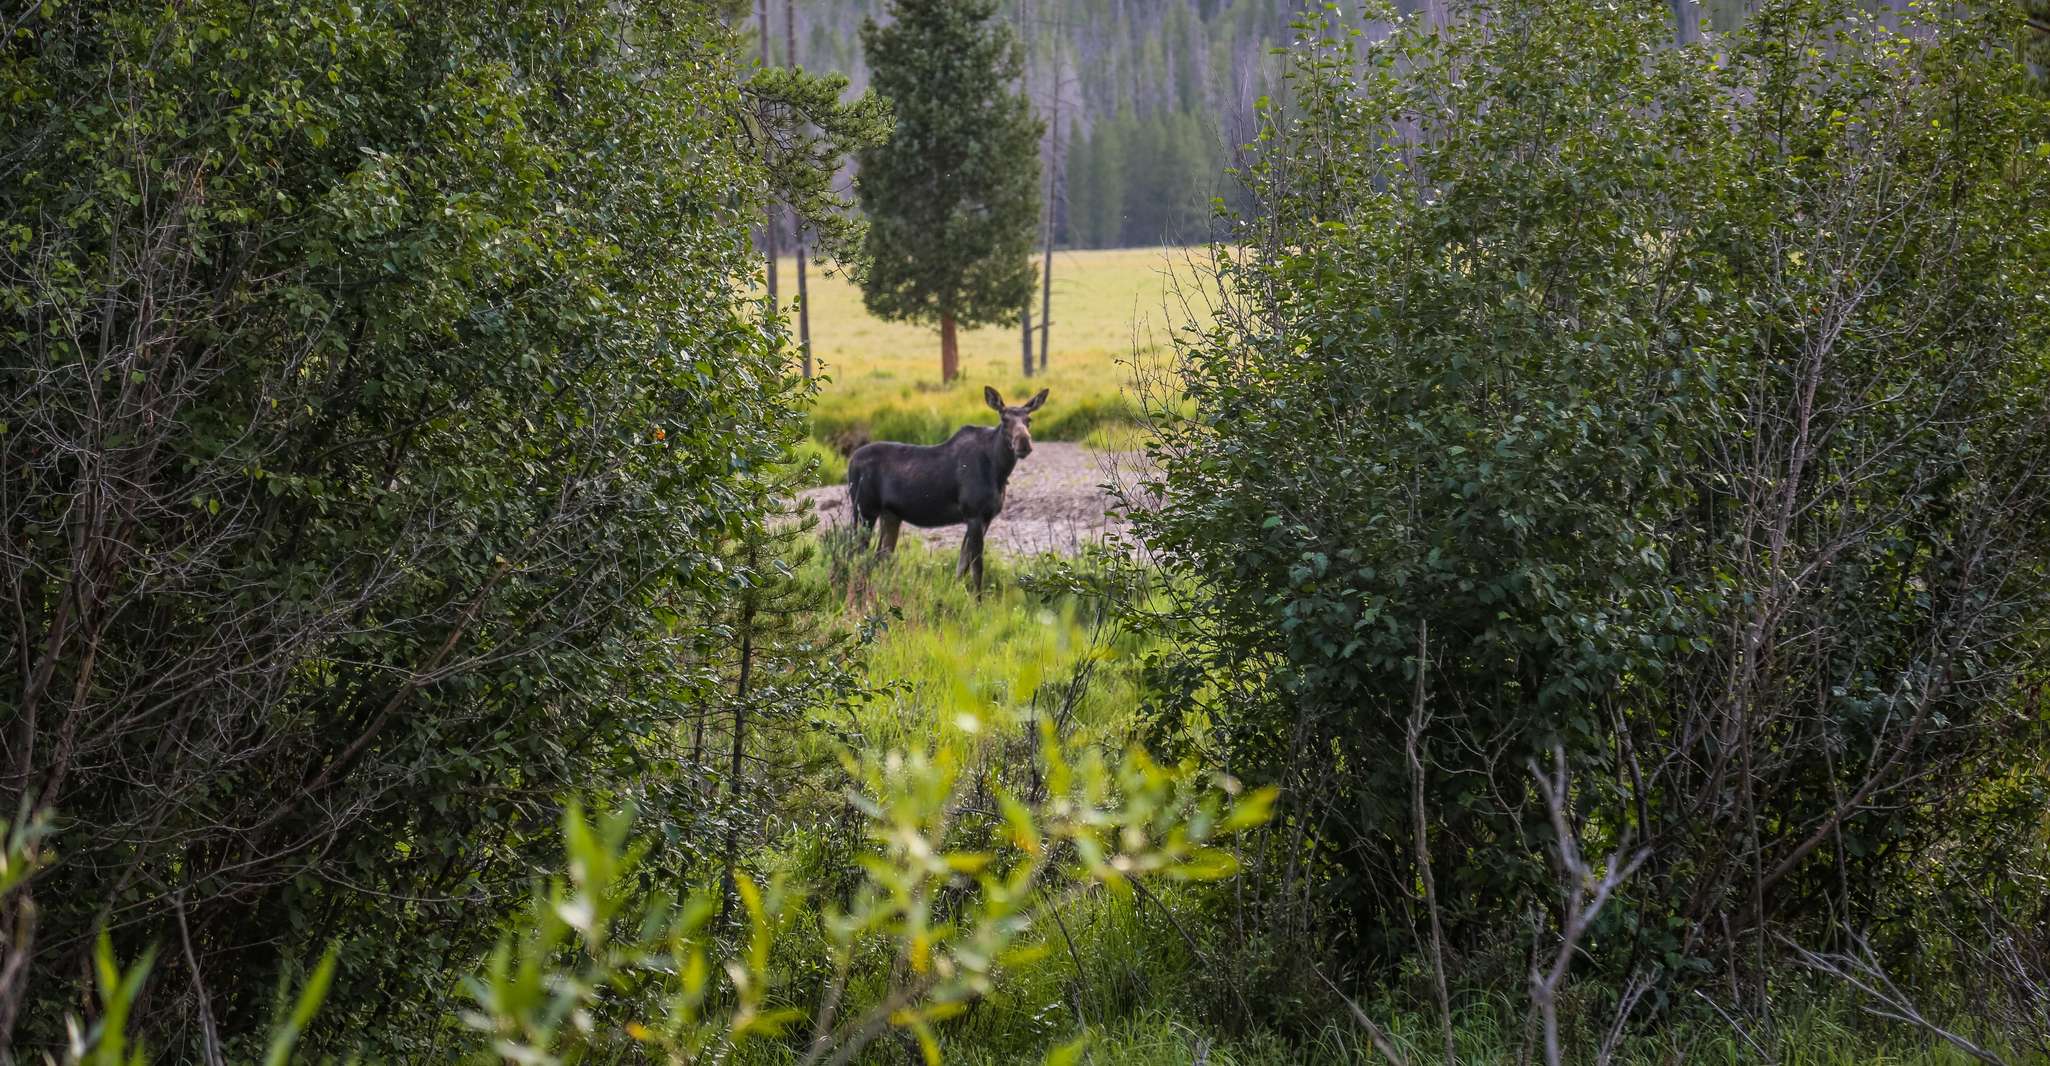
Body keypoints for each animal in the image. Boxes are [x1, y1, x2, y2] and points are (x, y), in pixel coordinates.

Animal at [844, 385, 1049, 590]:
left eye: (1029, 419)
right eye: (1004, 419)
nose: (1024, 443)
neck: (999, 470)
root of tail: (851, 461)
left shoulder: (986, 517)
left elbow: (962, 566)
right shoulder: (974, 514)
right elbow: (976, 568)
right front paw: (976, 598)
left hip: (890, 515)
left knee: (880, 556)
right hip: (864, 511)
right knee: (855, 554)